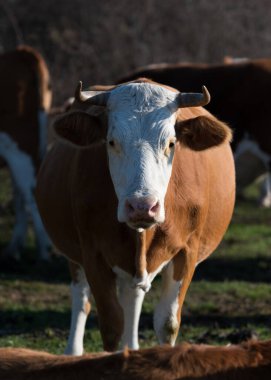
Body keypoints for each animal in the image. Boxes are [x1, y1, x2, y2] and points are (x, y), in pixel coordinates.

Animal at [36, 77, 236, 354]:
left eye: (171, 143)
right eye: (111, 141)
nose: (142, 206)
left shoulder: (188, 251)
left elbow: (167, 323)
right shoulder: (92, 253)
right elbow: (112, 324)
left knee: (132, 299)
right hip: (75, 255)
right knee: (81, 298)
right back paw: (73, 351)